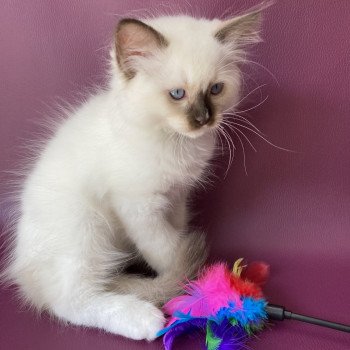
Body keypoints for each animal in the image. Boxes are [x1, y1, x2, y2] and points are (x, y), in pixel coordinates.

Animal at [3, 8, 262, 342]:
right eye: (177, 94)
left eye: (215, 89)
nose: (204, 119)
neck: (173, 143)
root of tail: (23, 269)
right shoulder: (139, 207)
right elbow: (166, 250)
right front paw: (191, 286)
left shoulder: (177, 199)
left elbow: (175, 239)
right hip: (86, 226)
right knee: (70, 300)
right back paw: (144, 318)